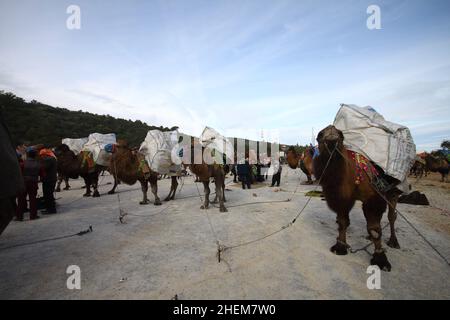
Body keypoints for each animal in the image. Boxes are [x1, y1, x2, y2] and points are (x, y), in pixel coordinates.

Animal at [312, 126, 402, 272]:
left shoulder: (373, 197)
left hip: (393, 192)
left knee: (391, 216)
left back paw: (393, 241)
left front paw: (381, 260)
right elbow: (342, 222)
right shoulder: (342, 198)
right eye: (319, 135)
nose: (331, 132)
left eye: (341, 135)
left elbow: (375, 229)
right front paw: (340, 247)